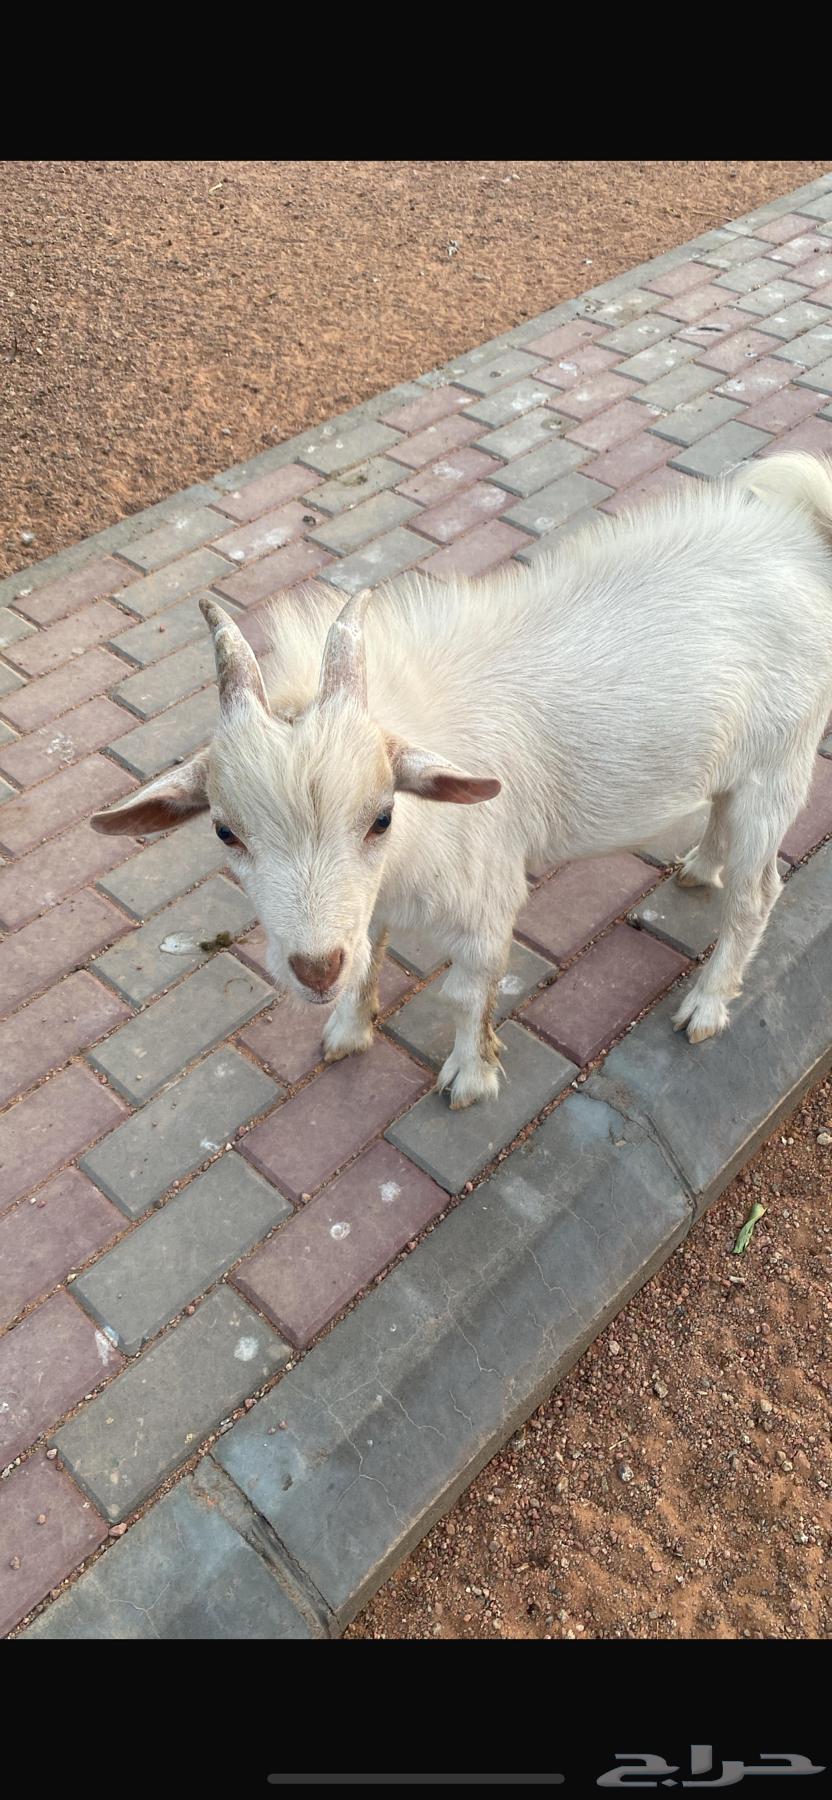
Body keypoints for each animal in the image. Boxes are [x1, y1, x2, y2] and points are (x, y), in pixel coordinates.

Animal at [92, 451, 832, 1109]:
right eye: (224, 831)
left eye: (382, 816)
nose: (314, 969)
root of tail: (800, 539)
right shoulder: (370, 905)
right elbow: (371, 956)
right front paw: (347, 1030)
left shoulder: (486, 902)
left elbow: (467, 992)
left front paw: (471, 1078)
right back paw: (699, 867)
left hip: (779, 767)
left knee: (757, 894)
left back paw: (706, 1005)